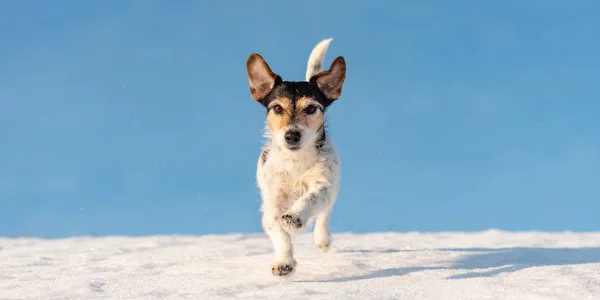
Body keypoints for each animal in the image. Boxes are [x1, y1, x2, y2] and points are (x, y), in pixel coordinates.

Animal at [245, 38, 346, 278]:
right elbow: (279, 231)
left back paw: (323, 239)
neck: (295, 163)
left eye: (310, 108)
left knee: (323, 215)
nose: (291, 135)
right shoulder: (272, 203)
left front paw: (295, 216)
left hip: (333, 190)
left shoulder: (323, 185)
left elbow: (311, 199)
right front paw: (284, 262)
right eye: (277, 108)